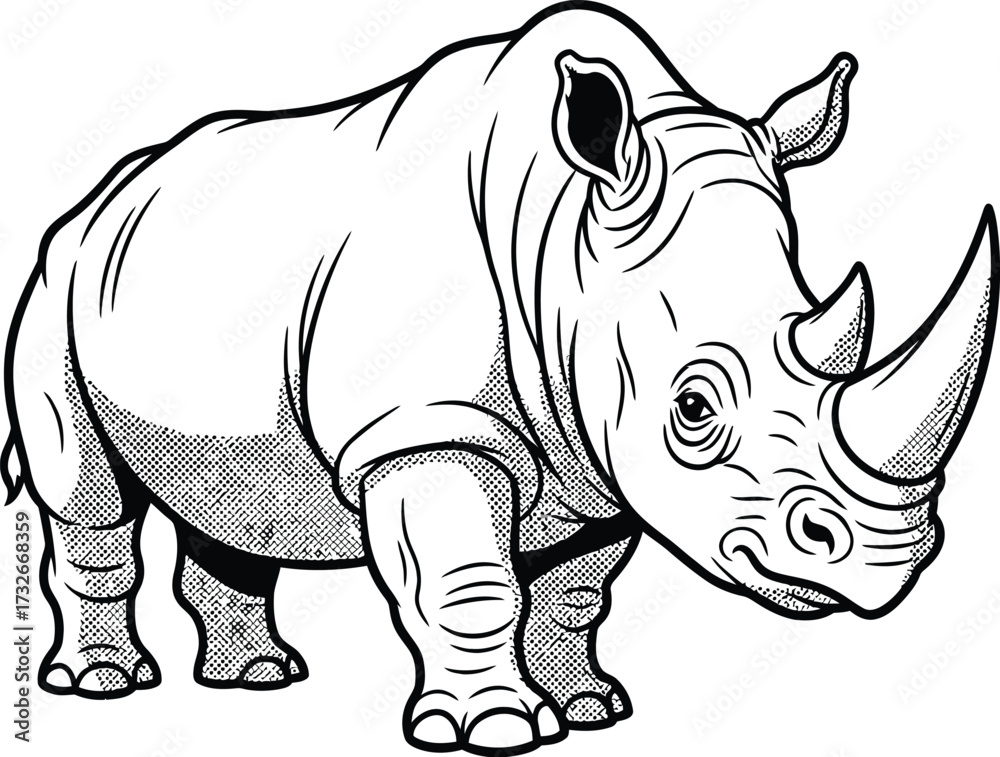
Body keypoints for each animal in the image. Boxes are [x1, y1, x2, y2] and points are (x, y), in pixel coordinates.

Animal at [3, 3, 997, 754]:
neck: (567, 244)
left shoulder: (595, 452)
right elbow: (467, 580)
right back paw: (103, 684)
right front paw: (496, 732)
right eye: (693, 407)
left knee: (233, 494)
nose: (888, 565)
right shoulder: (424, 426)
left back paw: (258, 680)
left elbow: (576, 592)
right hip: (52, 285)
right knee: (86, 498)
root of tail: (93, 200)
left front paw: (591, 708)